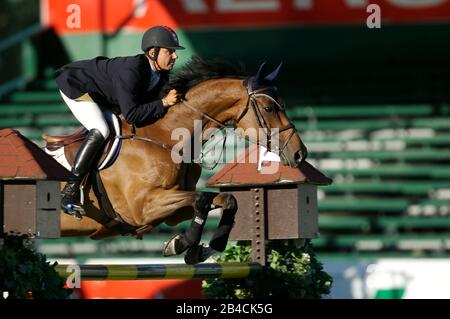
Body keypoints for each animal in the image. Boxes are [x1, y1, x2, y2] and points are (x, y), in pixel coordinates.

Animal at [44, 57, 306, 264]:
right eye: (269, 108)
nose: (299, 153)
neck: (165, 136)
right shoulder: (144, 207)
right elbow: (202, 199)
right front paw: (181, 243)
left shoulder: (171, 213)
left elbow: (224, 200)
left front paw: (199, 249)